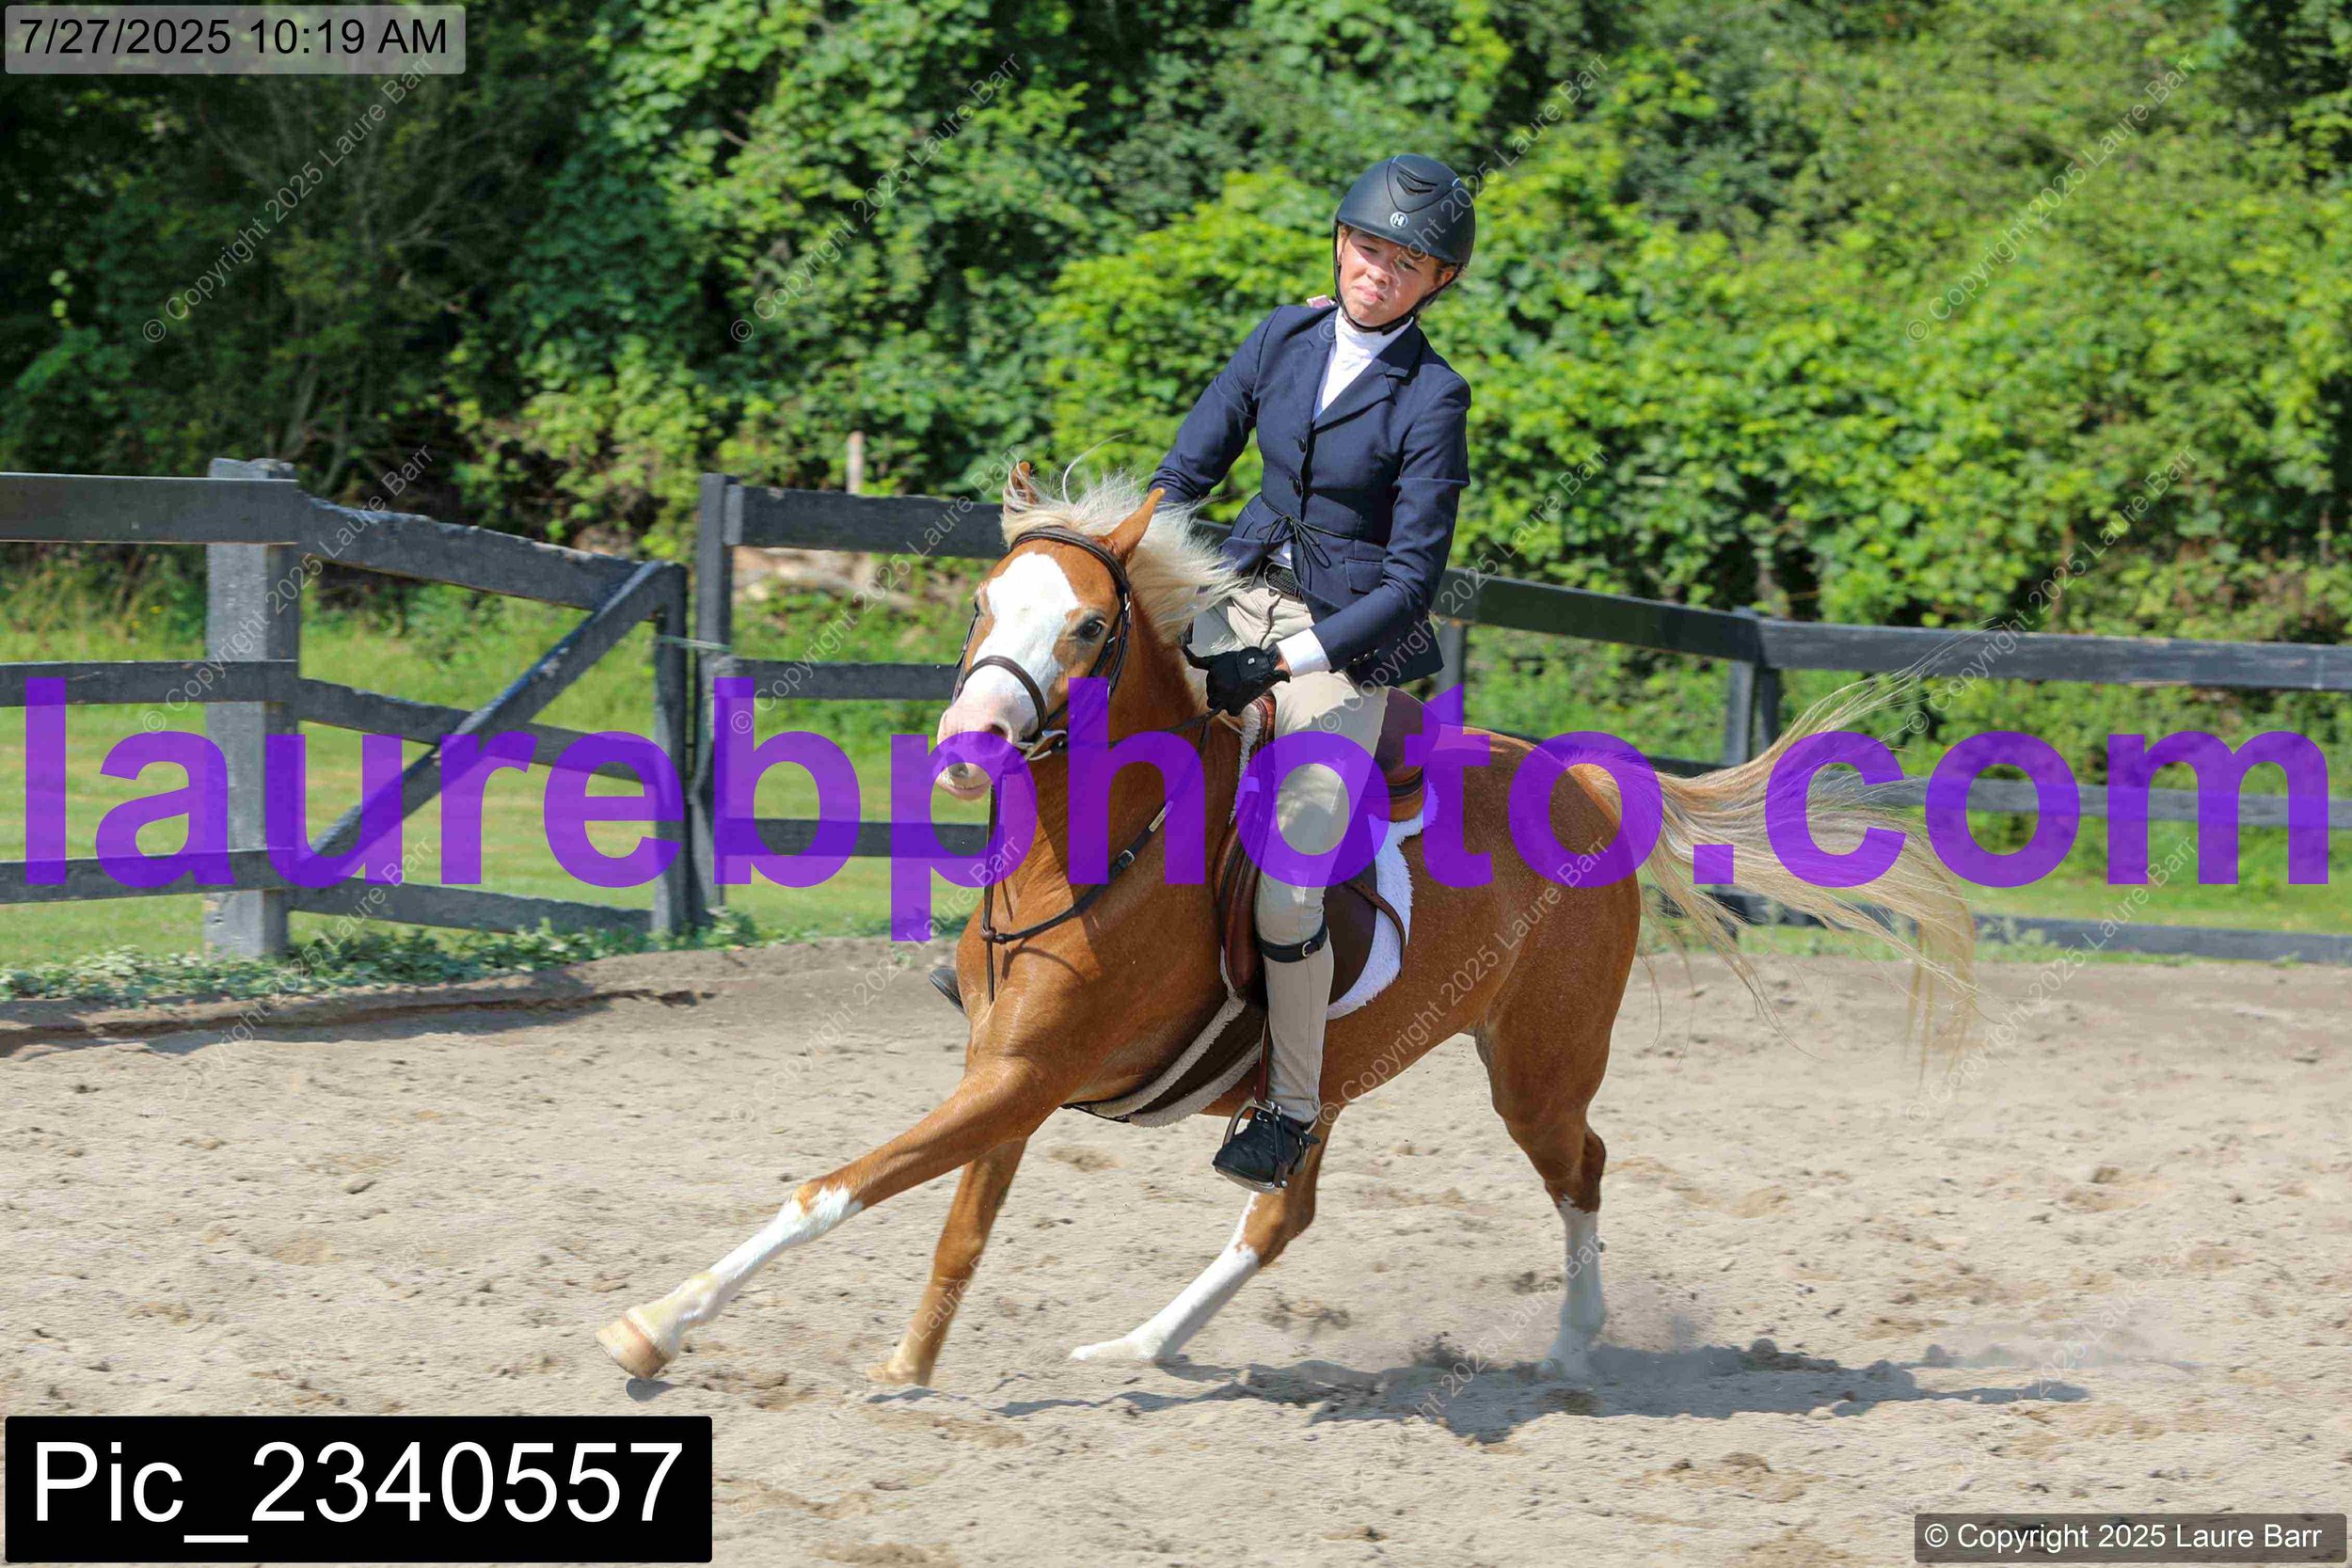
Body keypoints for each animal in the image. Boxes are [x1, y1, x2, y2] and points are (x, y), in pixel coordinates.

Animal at [596, 463, 1980, 1387]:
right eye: (985, 603)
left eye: (1087, 625)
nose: (970, 743)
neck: (1096, 844)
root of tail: (1588, 780)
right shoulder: (1008, 1072)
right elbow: (958, 1231)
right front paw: (907, 1370)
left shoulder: (1024, 1076)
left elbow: (838, 1186)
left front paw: (656, 1324)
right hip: (1332, 1070)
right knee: (1280, 1211)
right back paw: (1138, 1344)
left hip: (1534, 1064)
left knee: (1581, 1166)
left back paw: (1571, 1350)